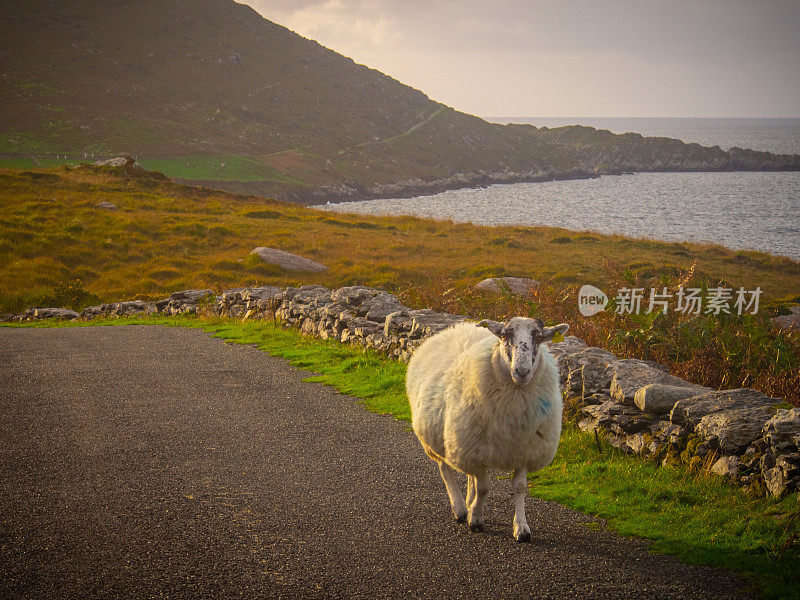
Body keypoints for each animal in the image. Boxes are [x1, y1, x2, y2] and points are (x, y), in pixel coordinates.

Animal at [406, 316, 568, 540]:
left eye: (538, 338)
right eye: (504, 336)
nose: (522, 371)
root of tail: (455, 328)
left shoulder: (524, 450)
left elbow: (519, 488)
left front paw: (521, 528)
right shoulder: (476, 452)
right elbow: (483, 488)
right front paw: (476, 520)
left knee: (468, 476)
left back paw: (468, 503)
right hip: (440, 439)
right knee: (446, 469)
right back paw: (460, 508)